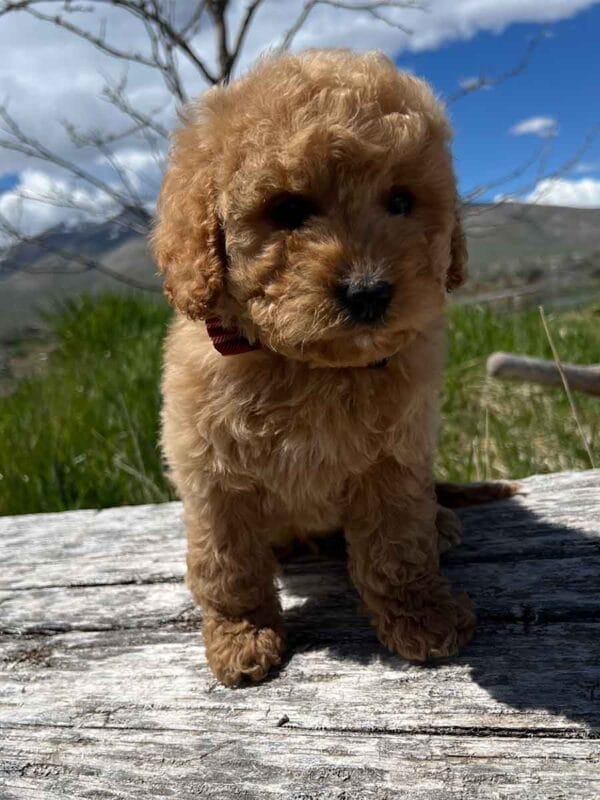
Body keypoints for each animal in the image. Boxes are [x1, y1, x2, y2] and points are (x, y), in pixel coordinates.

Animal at [152, 50, 476, 688]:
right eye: (288, 211)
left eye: (401, 202)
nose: (369, 292)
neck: (310, 365)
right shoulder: (211, 475)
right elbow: (227, 565)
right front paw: (242, 638)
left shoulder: (395, 459)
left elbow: (397, 547)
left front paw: (422, 616)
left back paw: (442, 522)